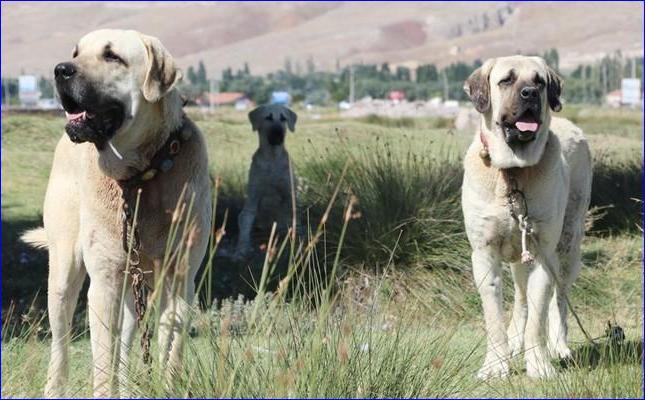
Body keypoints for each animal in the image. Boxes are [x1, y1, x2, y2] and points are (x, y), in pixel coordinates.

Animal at [19, 28, 211, 396]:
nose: (61, 70)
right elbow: (102, 363)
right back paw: (55, 387)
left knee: (127, 341)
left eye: (112, 56)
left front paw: (166, 387)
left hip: (133, 291)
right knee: (61, 343)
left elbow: (171, 351)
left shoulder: (180, 279)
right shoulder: (104, 284)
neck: (141, 175)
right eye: (76, 53)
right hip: (64, 274)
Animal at [235, 104, 298, 258]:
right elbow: (246, 220)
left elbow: (287, 219)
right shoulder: (253, 197)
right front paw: (241, 248)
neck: (272, 159)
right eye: (268, 117)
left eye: (283, 118)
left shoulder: (288, 195)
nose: (279, 133)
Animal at [460, 55, 592, 378]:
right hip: (520, 257)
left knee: (559, 299)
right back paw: (514, 343)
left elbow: (538, 316)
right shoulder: (484, 253)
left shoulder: (542, 253)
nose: (530, 93)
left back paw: (559, 346)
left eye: (540, 81)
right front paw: (495, 365)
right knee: (520, 300)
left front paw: (539, 365)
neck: (513, 172)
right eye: (506, 80)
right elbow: (494, 318)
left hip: (567, 247)